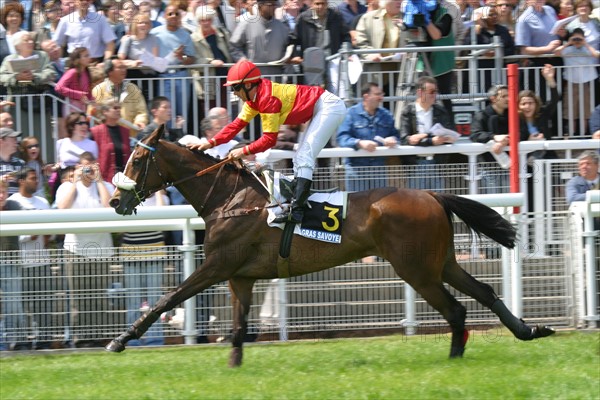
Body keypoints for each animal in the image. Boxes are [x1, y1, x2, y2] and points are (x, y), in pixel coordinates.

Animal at [106, 125, 552, 366]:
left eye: (137, 161)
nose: (115, 202)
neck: (229, 199)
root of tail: (431, 194)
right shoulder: (240, 277)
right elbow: (237, 326)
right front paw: (234, 365)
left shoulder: (217, 265)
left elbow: (167, 299)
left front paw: (119, 341)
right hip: (440, 263)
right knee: (484, 292)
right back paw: (529, 330)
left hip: (416, 270)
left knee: (456, 309)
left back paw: (455, 359)